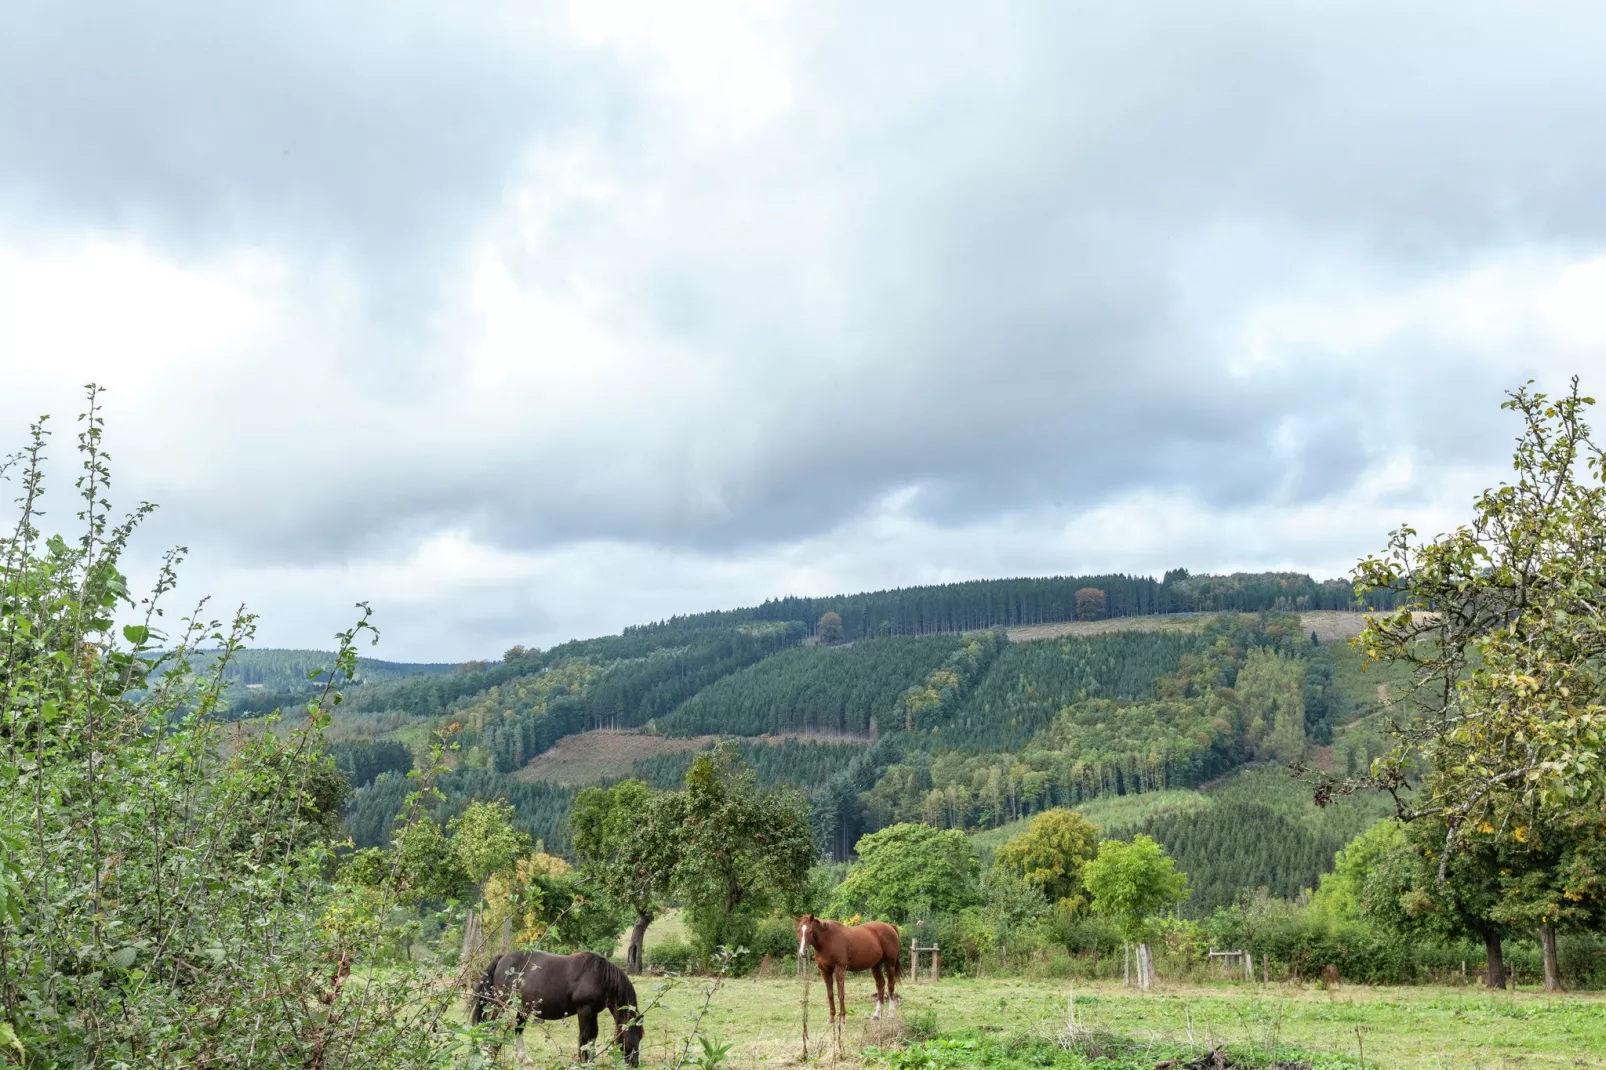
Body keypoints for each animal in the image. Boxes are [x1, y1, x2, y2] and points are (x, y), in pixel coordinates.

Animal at [468, 944, 642, 1060]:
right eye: (633, 1035)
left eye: (641, 1037)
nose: (634, 1063)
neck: (599, 976)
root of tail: (502, 958)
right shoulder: (584, 1010)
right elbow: (584, 1036)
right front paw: (583, 1061)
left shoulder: (593, 1013)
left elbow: (592, 1037)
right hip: (501, 1004)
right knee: (492, 1026)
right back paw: (488, 1055)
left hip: (523, 1007)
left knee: (517, 1029)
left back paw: (523, 1059)